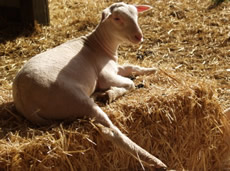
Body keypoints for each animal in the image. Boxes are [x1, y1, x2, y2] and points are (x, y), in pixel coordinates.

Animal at [13, 2, 167, 170]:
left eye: (137, 15)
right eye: (117, 18)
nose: (139, 36)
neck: (99, 45)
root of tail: (24, 101)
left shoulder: (114, 67)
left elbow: (132, 67)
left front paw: (151, 70)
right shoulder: (105, 75)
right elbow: (130, 83)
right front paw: (112, 92)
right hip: (73, 97)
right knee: (109, 130)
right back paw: (154, 160)